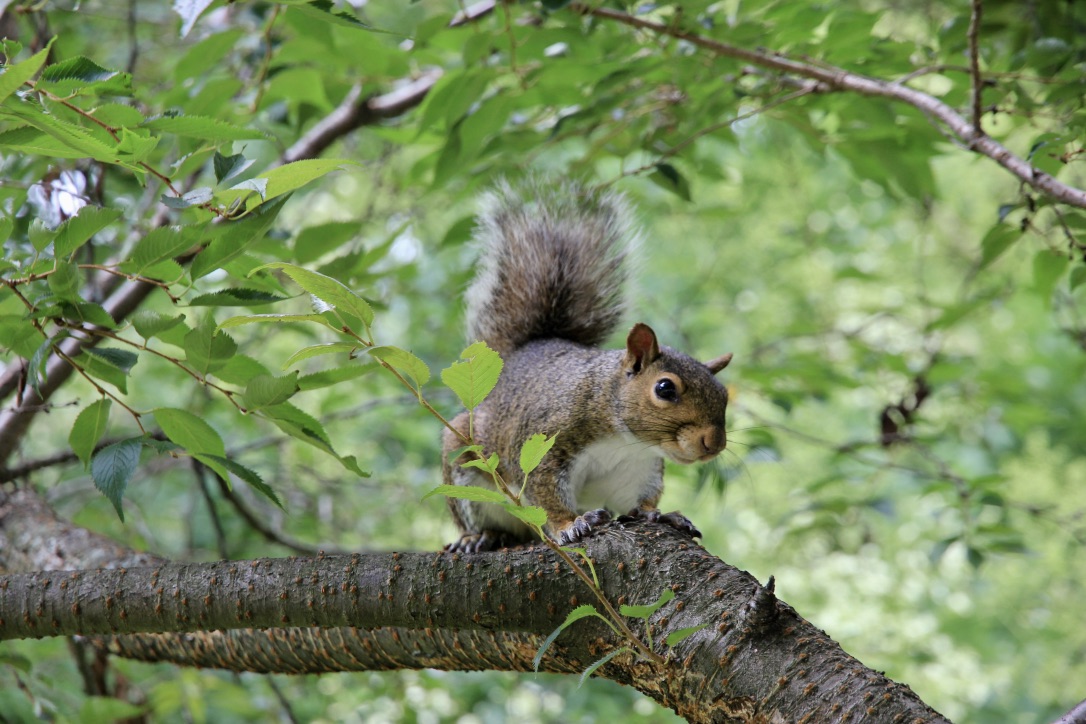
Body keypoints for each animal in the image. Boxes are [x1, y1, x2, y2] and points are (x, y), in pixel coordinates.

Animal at [438, 181, 729, 555]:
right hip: (463, 460)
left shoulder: (637, 468)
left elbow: (639, 499)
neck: (621, 438)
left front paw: (659, 514)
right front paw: (570, 525)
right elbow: (545, 494)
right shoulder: (543, 443)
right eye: (665, 389)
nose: (714, 444)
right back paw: (480, 536)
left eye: (724, 394)